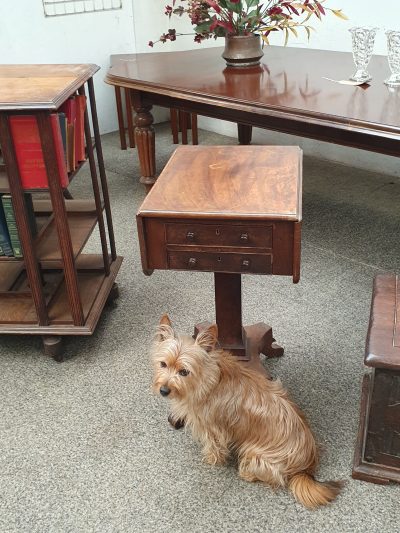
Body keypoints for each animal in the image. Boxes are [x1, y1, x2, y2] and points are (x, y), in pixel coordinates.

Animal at [152, 314, 342, 510]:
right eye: (163, 364)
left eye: (184, 372)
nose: (164, 390)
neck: (208, 380)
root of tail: (306, 467)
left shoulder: (212, 427)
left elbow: (214, 445)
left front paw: (212, 459)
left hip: (254, 454)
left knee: (275, 477)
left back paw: (248, 474)